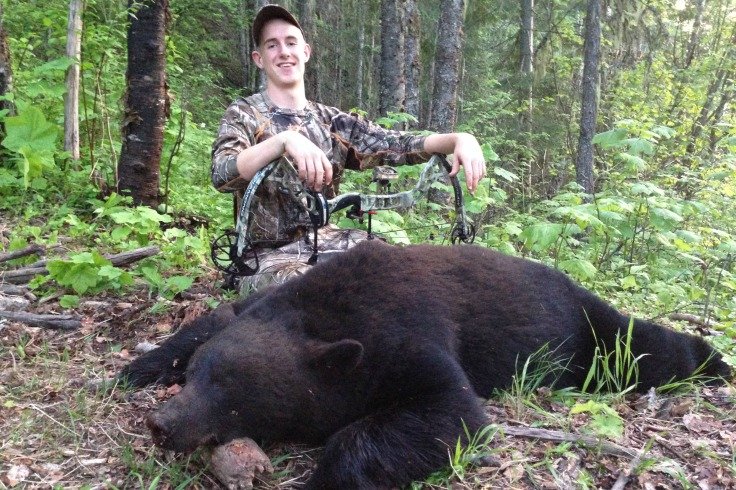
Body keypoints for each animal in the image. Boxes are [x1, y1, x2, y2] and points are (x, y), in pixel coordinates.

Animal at [121, 240, 732, 486]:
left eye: (230, 390)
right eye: (198, 374)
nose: (161, 423)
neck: (326, 316)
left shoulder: (409, 337)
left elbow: (451, 412)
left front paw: (320, 479)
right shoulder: (267, 301)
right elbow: (216, 315)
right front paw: (139, 365)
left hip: (589, 334)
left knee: (641, 347)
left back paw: (715, 361)